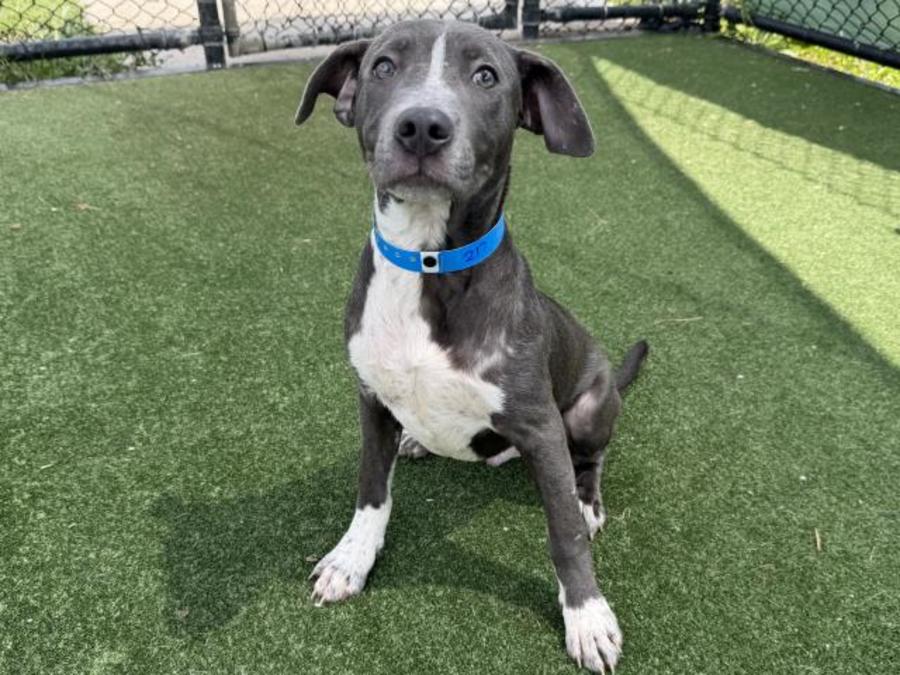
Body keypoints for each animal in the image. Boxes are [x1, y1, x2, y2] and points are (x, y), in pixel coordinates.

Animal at [295, 19, 647, 672]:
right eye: (383, 66)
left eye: (486, 75)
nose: (421, 126)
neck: (425, 261)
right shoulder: (371, 399)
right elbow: (370, 491)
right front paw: (352, 559)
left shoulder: (539, 425)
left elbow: (563, 535)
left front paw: (587, 616)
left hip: (590, 407)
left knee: (590, 461)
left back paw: (587, 499)